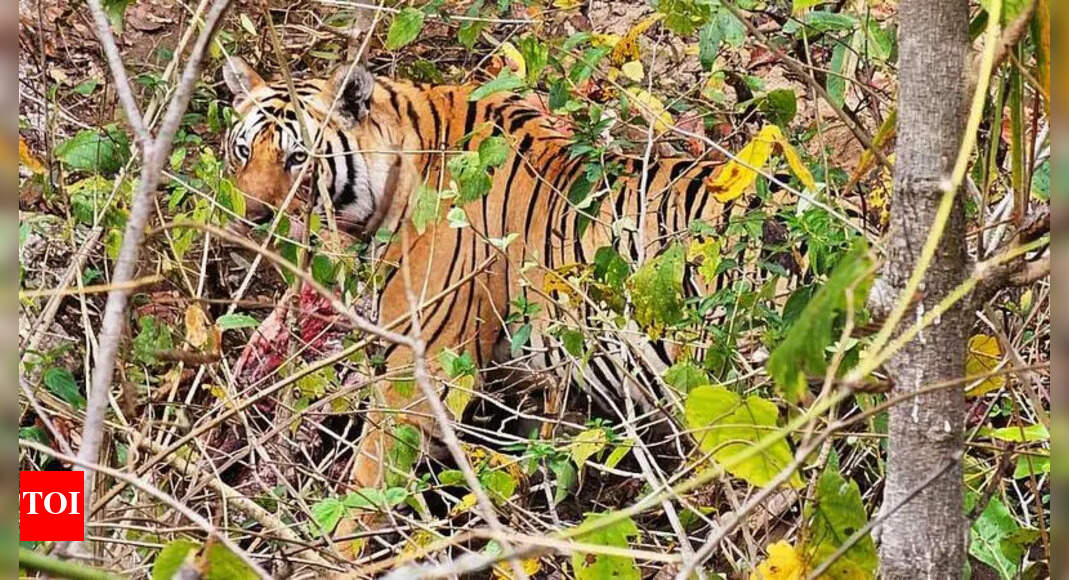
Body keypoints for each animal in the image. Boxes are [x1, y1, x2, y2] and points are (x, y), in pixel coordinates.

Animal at [222, 56, 799, 547]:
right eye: (243, 150)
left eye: (299, 157)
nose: (251, 219)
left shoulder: (421, 367)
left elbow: (371, 476)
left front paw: (339, 548)